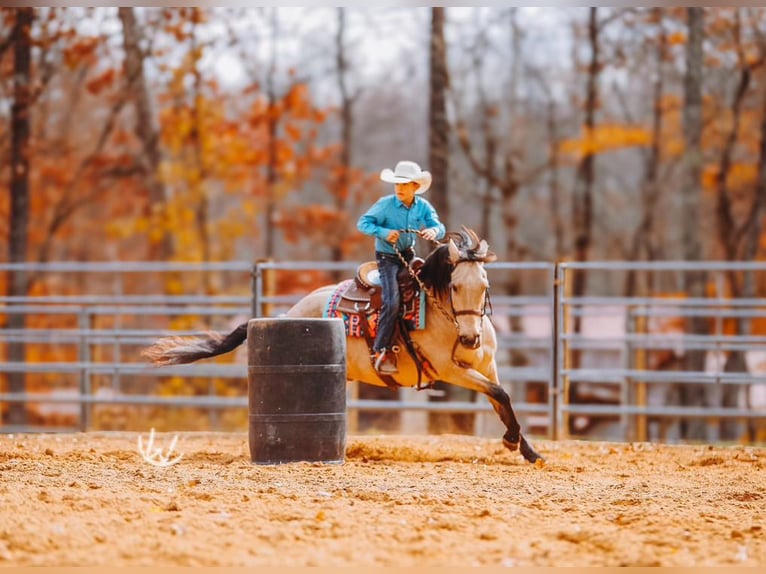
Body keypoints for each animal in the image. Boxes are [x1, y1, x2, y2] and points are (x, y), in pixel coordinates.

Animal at [142, 227, 543, 464]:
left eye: (485, 285)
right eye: (456, 286)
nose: (470, 338)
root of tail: (290, 312)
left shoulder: (487, 366)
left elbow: (501, 400)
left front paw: (527, 448)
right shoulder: (450, 370)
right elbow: (501, 396)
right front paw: (512, 441)